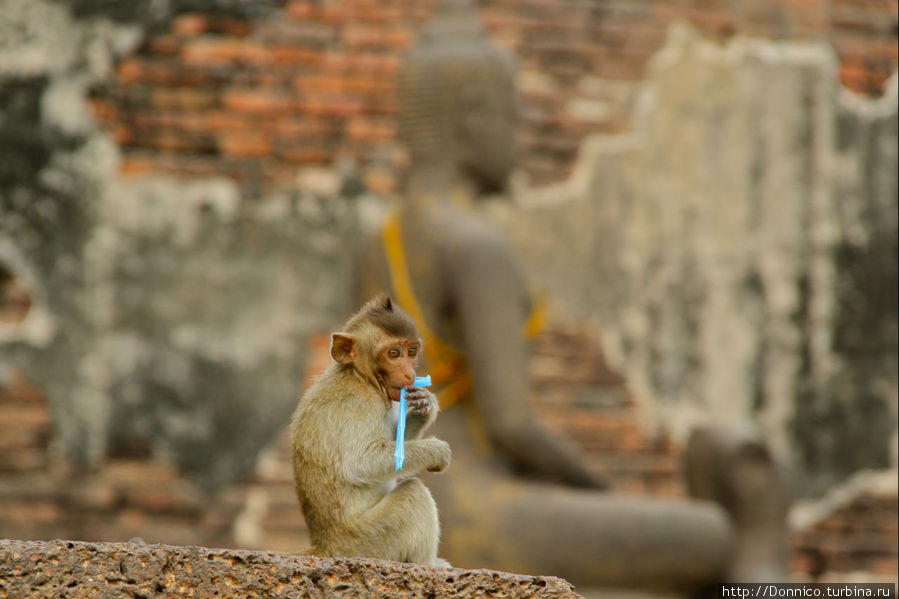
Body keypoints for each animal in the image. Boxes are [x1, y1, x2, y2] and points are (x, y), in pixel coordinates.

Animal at [292, 296, 454, 568]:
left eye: (411, 351)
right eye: (393, 353)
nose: (410, 373)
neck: (359, 375)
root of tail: (326, 546)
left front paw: (425, 405)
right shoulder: (360, 403)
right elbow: (361, 463)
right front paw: (437, 450)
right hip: (369, 543)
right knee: (413, 493)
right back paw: (429, 564)